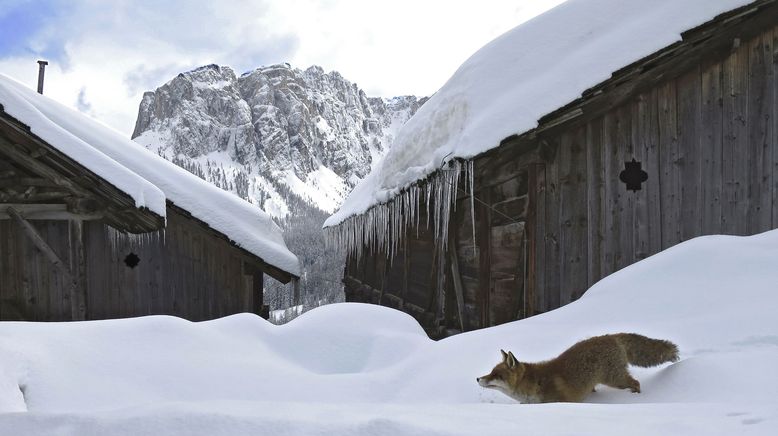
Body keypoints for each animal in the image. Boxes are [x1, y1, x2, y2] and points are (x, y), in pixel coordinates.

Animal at [476, 334, 676, 402]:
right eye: (491, 372)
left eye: (496, 375)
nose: (477, 378)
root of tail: (611, 336)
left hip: (615, 379)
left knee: (636, 382)